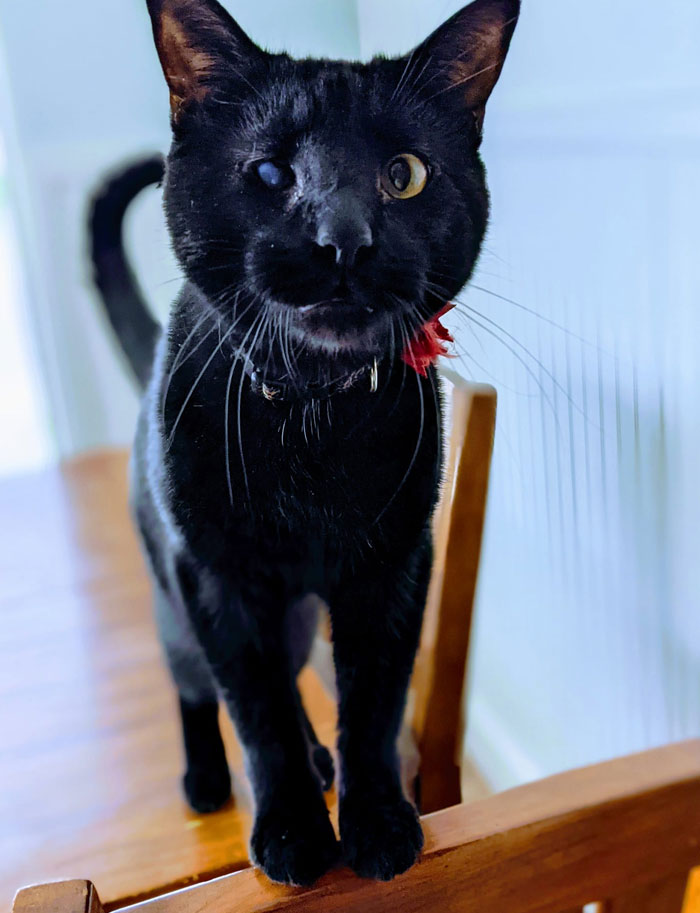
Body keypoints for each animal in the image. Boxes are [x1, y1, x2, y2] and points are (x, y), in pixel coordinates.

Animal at [90, 0, 516, 888]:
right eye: (268, 174)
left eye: (404, 174)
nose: (343, 238)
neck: (311, 419)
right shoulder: (216, 577)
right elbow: (257, 712)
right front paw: (290, 829)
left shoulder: (394, 567)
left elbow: (375, 700)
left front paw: (378, 820)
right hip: (177, 595)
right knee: (198, 684)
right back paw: (208, 778)